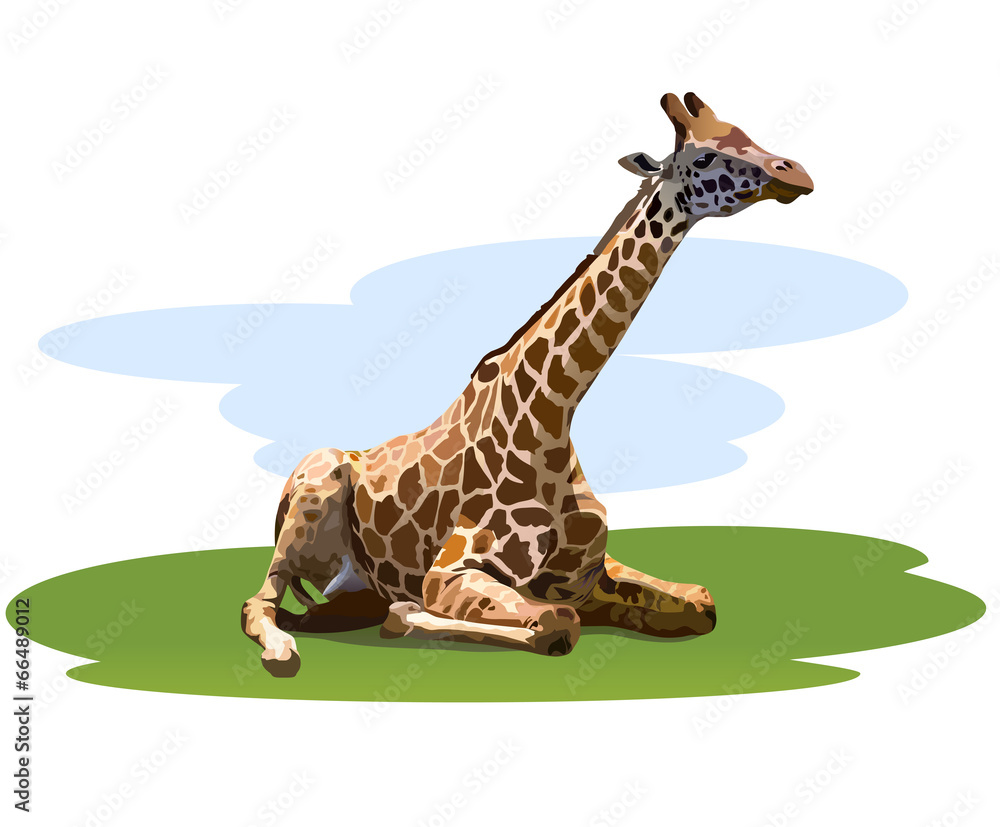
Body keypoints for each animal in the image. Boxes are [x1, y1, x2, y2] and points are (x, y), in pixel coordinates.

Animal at [242, 92, 814, 676]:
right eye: (702, 157)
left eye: (743, 129)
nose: (794, 173)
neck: (552, 415)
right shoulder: (453, 571)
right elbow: (557, 622)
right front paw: (408, 617)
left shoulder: (591, 574)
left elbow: (702, 602)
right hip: (312, 492)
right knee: (260, 599)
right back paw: (284, 650)